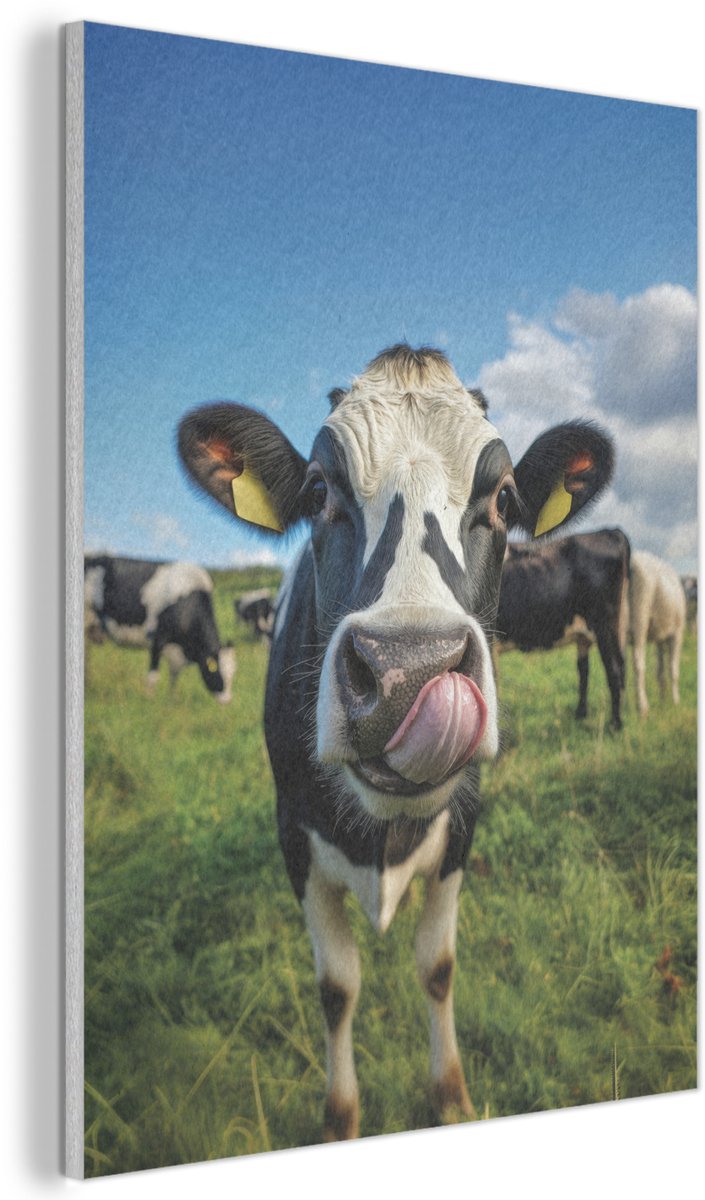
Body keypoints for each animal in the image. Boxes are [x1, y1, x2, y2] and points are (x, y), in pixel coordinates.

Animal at [84, 555, 236, 702]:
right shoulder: (158, 639)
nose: (227, 701)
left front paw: (171, 700)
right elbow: (153, 676)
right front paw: (149, 700)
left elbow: (174, 677)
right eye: (216, 671)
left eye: (233, 672)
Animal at [178, 344, 614, 1139]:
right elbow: (336, 987)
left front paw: (452, 1095)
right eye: (318, 490)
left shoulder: (463, 825)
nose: (409, 670)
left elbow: (436, 967)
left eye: (505, 499)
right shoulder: (293, 834)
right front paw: (340, 1116)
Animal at [495, 529, 630, 729]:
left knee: (613, 669)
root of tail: (610, 532)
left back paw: (615, 725)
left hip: (604, 625)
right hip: (610, 628)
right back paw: (581, 715)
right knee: (590, 669)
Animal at [629, 550, 686, 716]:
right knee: (638, 662)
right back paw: (642, 707)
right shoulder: (677, 634)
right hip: (640, 617)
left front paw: (663, 700)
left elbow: (660, 671)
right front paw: (675, 702)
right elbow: (673, 668)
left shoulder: (661, 637)